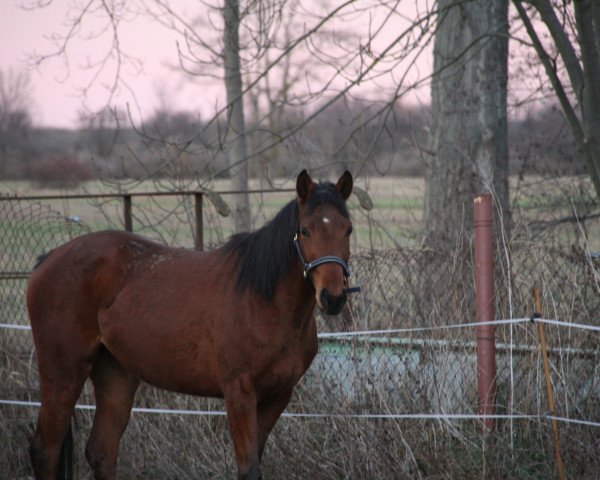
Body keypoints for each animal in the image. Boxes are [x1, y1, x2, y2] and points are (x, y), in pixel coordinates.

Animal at [28, 171, 354, 478]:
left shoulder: (277, 396)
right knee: (46, 450)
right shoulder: (239, 393)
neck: (263, 300)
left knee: (102, 452)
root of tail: (49, 258)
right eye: (305, 230)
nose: (333, 297)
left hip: (115, 374)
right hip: (64, 371)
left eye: (348, 229)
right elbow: (249, 469)